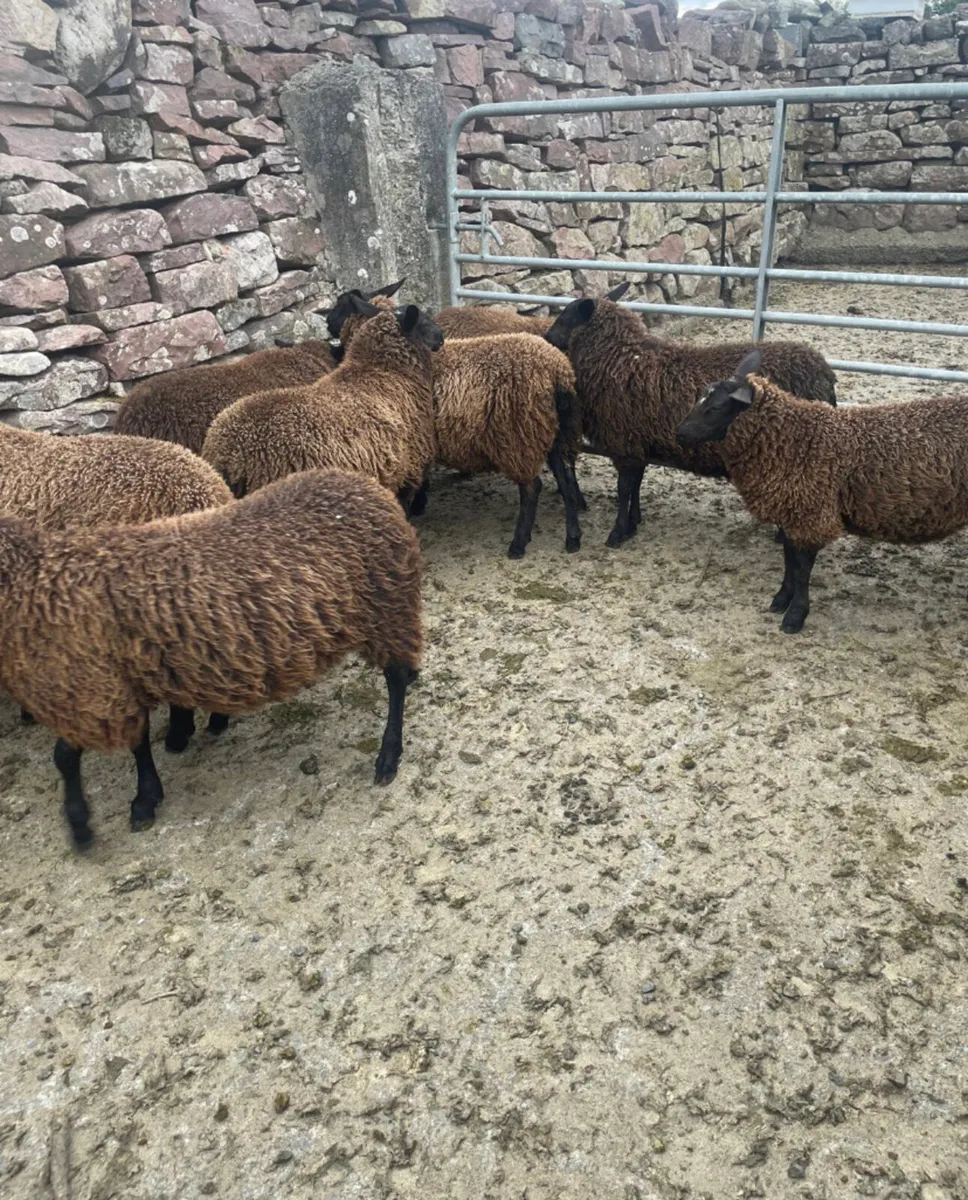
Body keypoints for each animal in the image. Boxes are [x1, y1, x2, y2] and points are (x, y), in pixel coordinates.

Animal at [0, 468, 423, 847]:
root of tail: (371, 488)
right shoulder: (118, 683)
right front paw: (146, 795)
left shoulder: (92, 690)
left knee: (395, 680)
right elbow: (134, 743)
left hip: (386, 604)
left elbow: (66, 757)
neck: (35, 585)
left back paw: (388, 757)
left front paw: (86, 824)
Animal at [329, 294, 583, 558]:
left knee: (532, 488)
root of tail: (557, 371)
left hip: (520, 436)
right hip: (555, 435)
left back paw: (519, 543)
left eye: (340, 309)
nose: (328, 326)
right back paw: (573, 538)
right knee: (567, 483)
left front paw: (417, 505)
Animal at [544, 281, 838, 548]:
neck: (621, 359)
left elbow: (624, 488)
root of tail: (825, 375)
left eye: (564, 317)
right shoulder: (639, 442)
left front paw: (617, 534)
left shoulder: (624, 442)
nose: (546, 338)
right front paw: (634, 523)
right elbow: (636, 484)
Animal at [675, 348, 968, 633]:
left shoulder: (811, 513)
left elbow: (802, 569)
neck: (796, 439)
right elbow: (789, 561)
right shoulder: (793, 513)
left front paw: (795, 616)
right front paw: (781, 599)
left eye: (716, 407)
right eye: (699, 398)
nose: (680, 433)